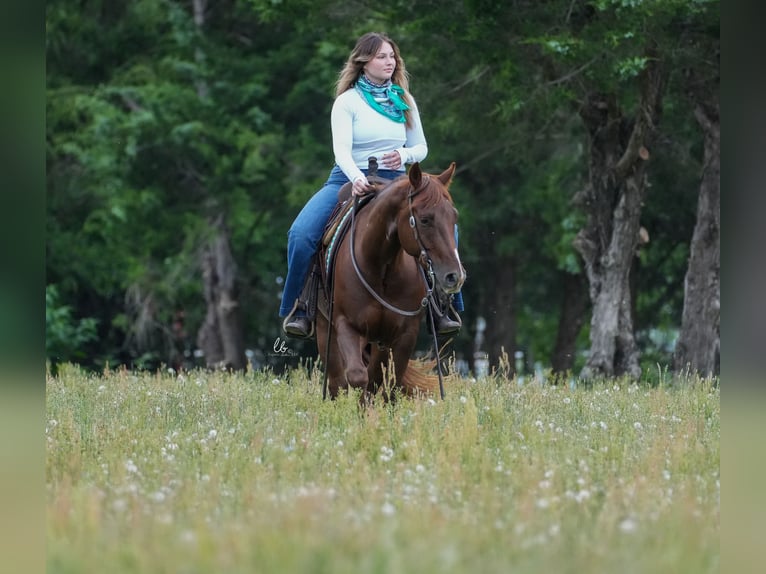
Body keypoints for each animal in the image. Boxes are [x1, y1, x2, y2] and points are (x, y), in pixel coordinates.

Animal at [316, 164, 464, 402]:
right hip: (326, 332)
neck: (381, 267)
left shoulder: (403, 335)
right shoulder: (346, 325)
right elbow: (358, 377)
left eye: (454, 217)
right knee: (337, 383)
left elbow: (386, 382)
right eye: (425, 219)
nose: (454, 276)